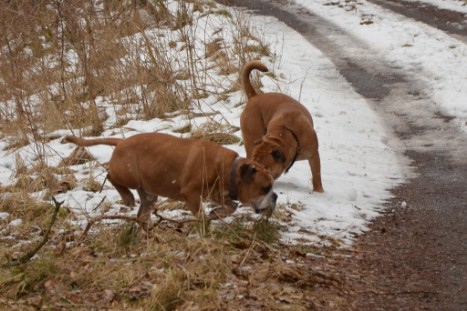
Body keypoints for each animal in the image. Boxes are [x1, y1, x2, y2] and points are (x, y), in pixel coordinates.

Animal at [66, 133, 278, 228]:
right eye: (265, 188)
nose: (275, 196)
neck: (229, 170)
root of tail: (121, 141)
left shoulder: (217, 194)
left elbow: (231, 206)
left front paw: (217, 213)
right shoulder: (191, 195)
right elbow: (201, 215)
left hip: (149, 195)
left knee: (142, 213)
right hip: (128, 175)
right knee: (111, 176)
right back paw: (127, 197)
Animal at [241, 60, 326, 193]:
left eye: (265, 167)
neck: (287, 134)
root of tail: (255, 96)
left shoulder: (313, 154)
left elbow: (316, 175)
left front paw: (319, 192)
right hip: (251, 138)